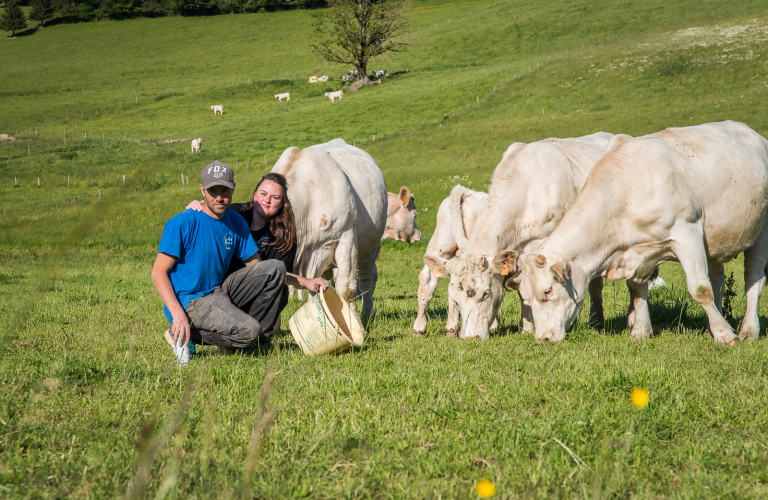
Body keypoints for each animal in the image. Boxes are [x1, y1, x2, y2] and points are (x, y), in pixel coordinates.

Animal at [272, 138, 388, 324]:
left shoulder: (346, 239)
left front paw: (354, 323)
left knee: (368, 277)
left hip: (371, 246)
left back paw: (366, 313)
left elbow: (347, 291)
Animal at [512, 123, 768, 346]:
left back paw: (748, 330)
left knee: (753, 279)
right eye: (525, 297)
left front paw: (726, 335)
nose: (543, 338)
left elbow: (700, 289)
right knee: (718, 281)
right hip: (714, 243)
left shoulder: (687, 232)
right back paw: (710, 329)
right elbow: (636, 288)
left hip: (760, 232)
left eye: (548, 291)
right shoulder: (638, 251)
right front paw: (641, 331)